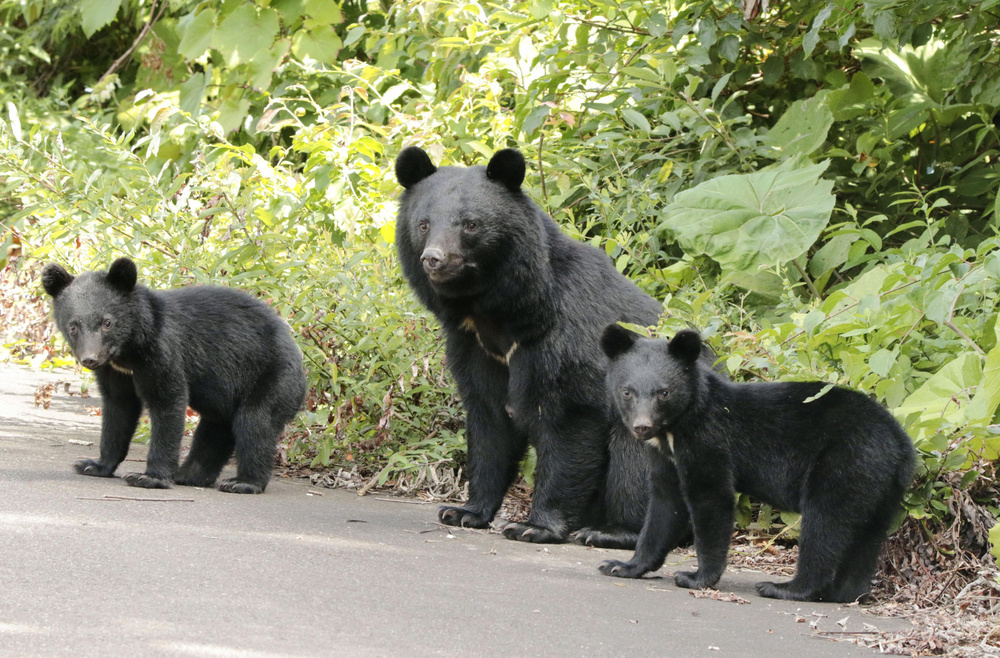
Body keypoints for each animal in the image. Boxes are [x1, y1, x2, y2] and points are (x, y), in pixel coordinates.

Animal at [41, 256, 304, 492]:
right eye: (73, 326)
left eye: (107, 322)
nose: (91, 358)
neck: (128, 351)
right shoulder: (114, 371)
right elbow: (119, 408)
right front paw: (94, 465)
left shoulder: (162, 352)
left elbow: (167, 401)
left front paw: (150, 477)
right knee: (215, 430)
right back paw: (190, 475)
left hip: (270, 378)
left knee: (255, 423)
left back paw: (243, 482)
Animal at [394, 146, 692, 544]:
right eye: (424, 224)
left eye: (470, 224)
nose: (434, 259)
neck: (497, 313)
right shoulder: (473, 347)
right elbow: (489, 419)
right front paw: (464, 511)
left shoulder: (565, 339)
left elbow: (569, 421)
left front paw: (534, 525)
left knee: (636, 458)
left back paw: (612, 532)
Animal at [596, 322, 916, 600]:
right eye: (627, 391)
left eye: (664, 392)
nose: (642, 426)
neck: (676, 429)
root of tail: (901, 442)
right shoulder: (666, 456)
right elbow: (665, 503)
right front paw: (622, 565)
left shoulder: (708, 441)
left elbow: (711, 498)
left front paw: (696, 577)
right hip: (879, 484)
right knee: (867, 537)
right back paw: (844, 593)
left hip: (845, 462)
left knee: (824, 523)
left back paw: (787, 587)